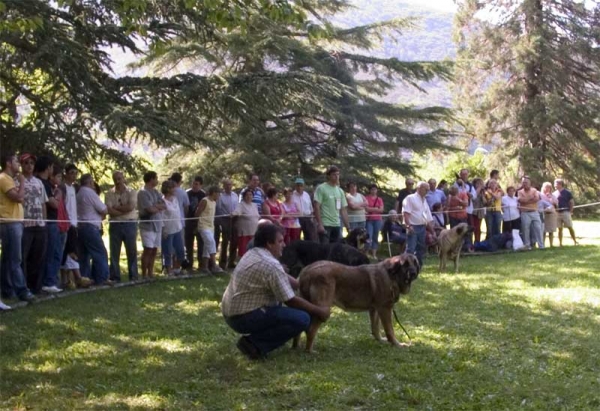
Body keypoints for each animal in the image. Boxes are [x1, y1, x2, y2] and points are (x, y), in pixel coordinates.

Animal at [292, 254, 420, 354]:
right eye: (405, 264)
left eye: (415, 263)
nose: (414, 273)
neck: (392, 275)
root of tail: (306, 270)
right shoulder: (385, 309)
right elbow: (390, 330)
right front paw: (396, 344)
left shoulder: (375, 309)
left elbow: (375, 328)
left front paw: (380, 340)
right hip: (323, 309)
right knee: (311, 330)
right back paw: (310, 351)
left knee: (299, 332)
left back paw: (295, 347)